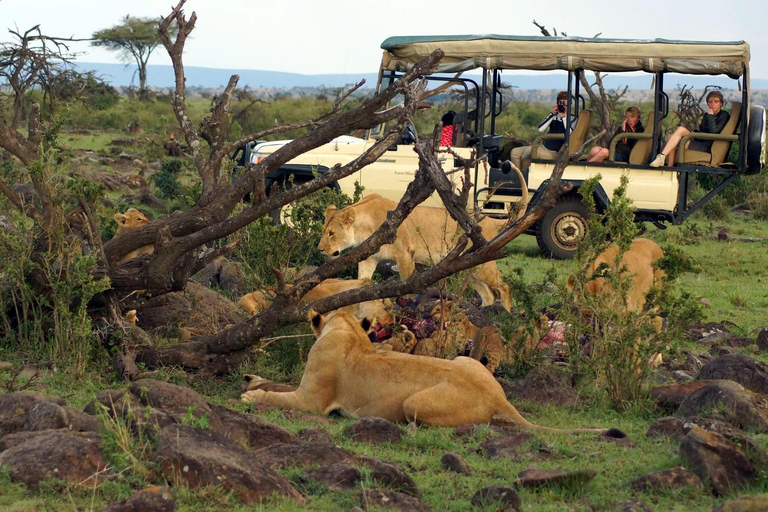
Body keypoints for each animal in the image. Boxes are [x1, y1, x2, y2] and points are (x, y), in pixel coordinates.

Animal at [243, 308, 620, 436]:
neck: (347, 329)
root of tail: (496, 396)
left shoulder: (312, 401)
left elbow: (278, 397)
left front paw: (250, 394)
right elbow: (279, 384)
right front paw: (252, 379)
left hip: (414, 402)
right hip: (466, 361)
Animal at [316, 195, 510, 308]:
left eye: (331, 233)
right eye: (323, 231)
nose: (320, 249)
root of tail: (490, 219)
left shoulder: (405, 255)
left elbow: (406, 286)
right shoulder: (369, 259)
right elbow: (362, 279)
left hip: (483, 264)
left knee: (504, 285)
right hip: (469, 267)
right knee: (489, 295)